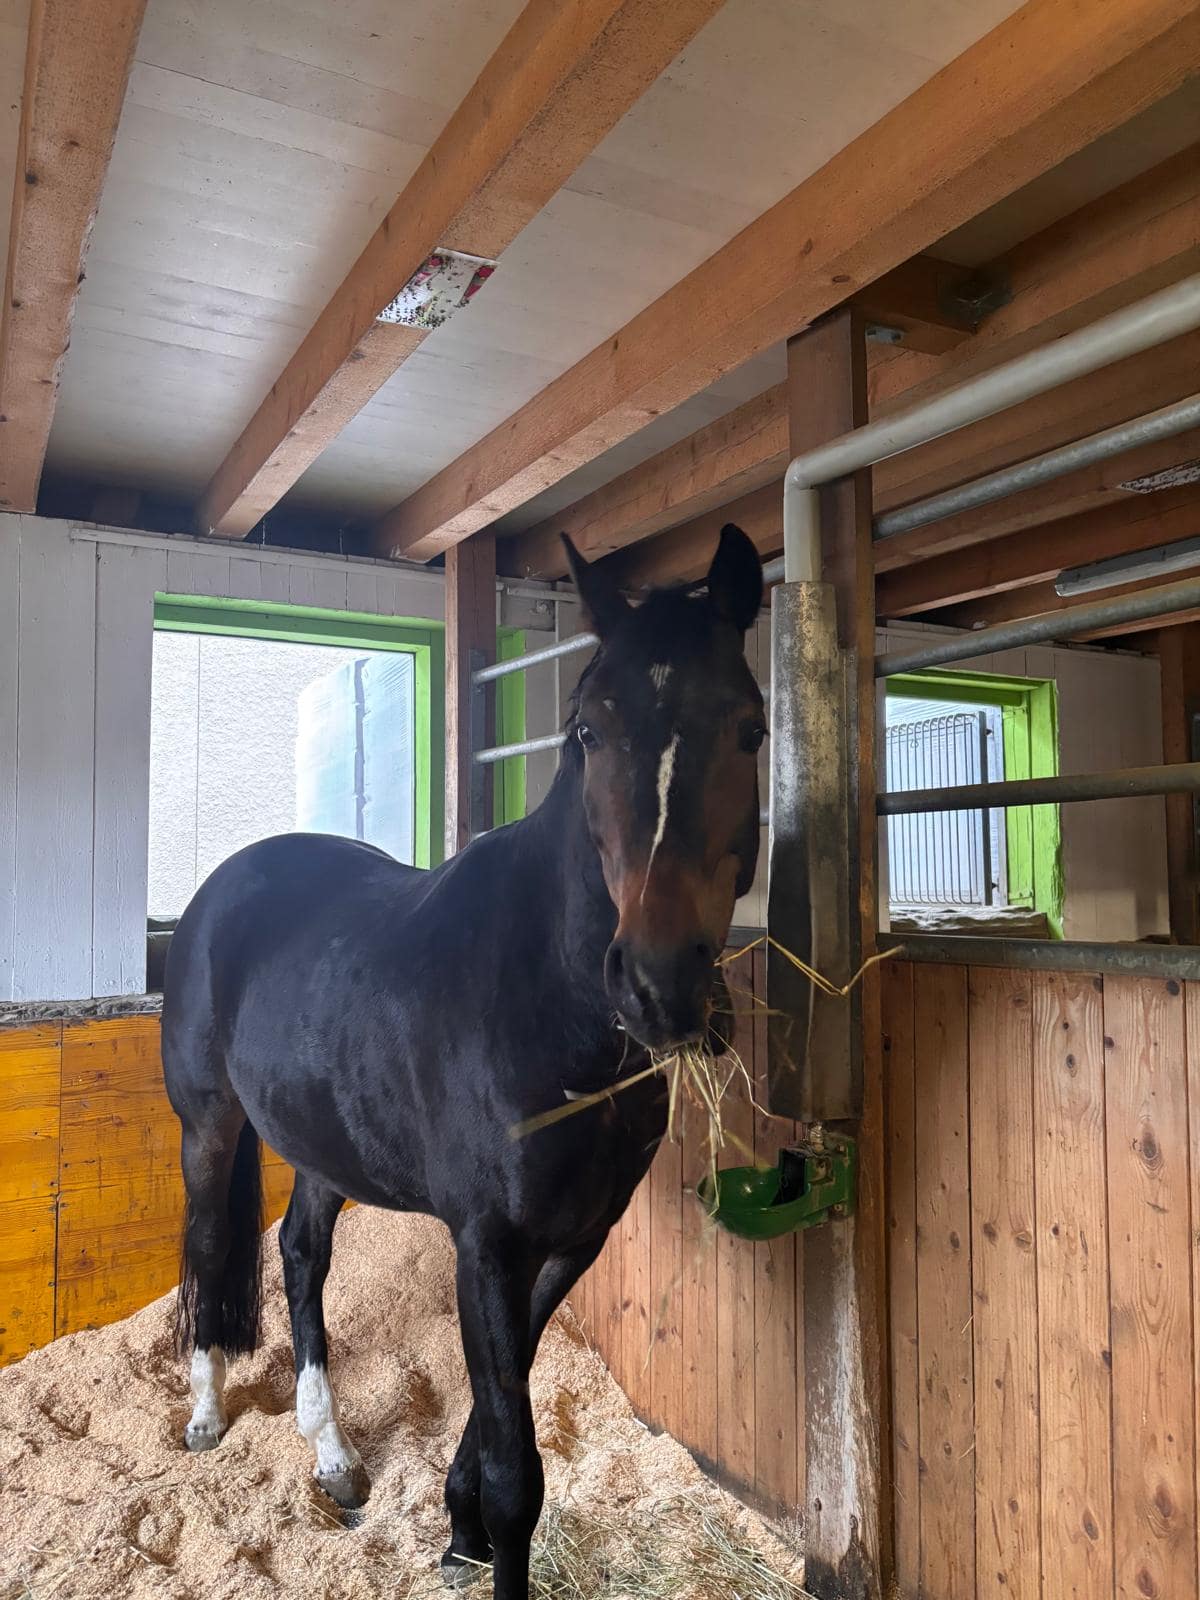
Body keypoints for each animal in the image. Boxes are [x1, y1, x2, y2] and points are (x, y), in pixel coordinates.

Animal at [161, 524, 765, 1599]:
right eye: (587, 730)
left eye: (750, 729)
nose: (660, 986)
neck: (548, 997)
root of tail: (229, 880)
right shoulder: (486, 1243)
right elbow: (520, 1471)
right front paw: (483, 1530)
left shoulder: (569, 1242)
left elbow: (499, 1405)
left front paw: (459, 1526)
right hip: (208, 1127)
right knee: (207, 1245)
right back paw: (203, 1414)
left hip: (321, 1146)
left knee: (301, 1254)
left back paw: (333, 1456)